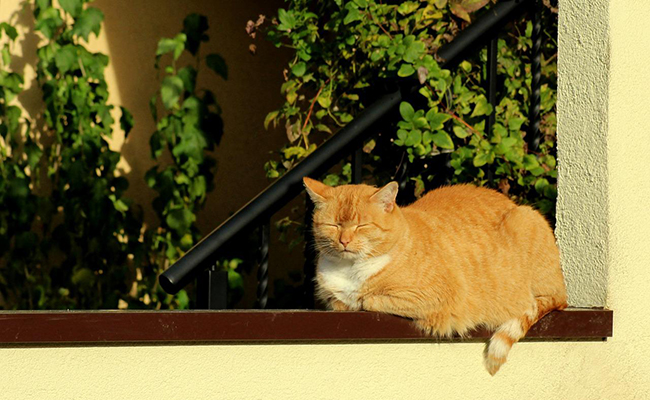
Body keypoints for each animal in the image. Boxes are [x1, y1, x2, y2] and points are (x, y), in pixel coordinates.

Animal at [302, 178, 560, 376]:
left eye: (362, 226)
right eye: (333, 226)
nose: (344, 241)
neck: (350, 269)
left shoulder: (438, 298)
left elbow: (368, 299)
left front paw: (360, 300)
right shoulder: (331, 297)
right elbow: (339, 301)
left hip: (527, 221)